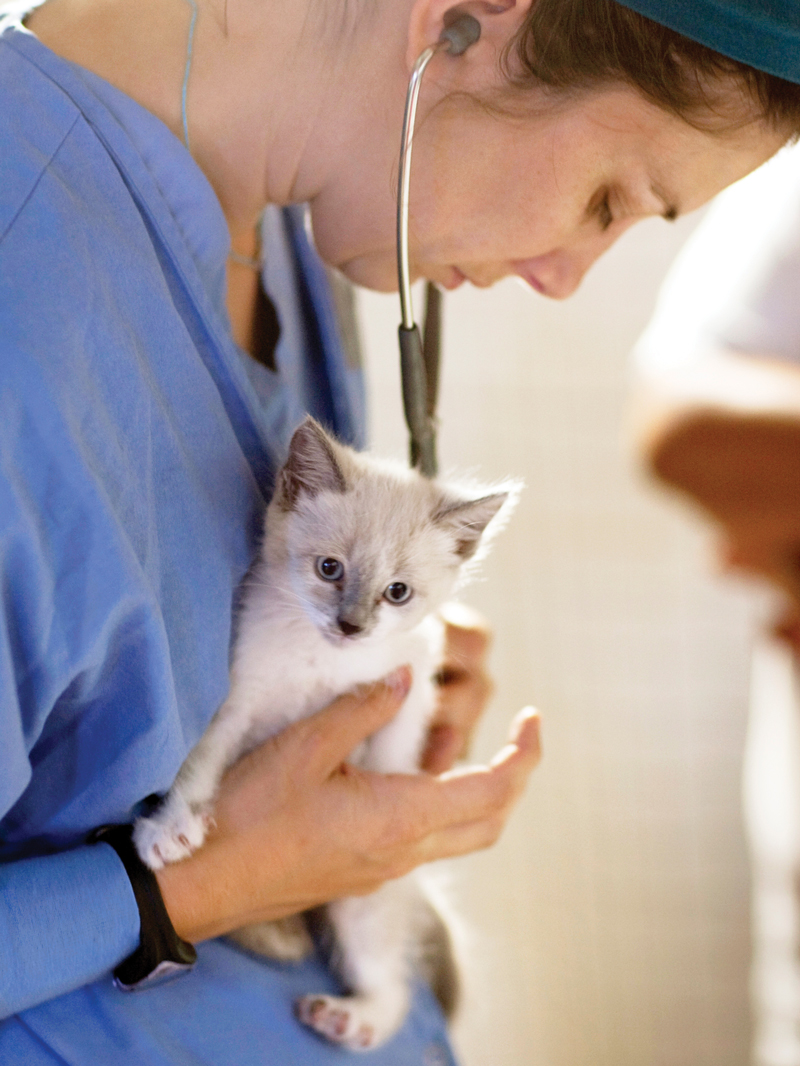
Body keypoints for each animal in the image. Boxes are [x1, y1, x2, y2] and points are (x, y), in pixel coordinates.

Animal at [134, 413, 516, 1048]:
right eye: (329, 569)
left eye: (397, 592)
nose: (351, 626)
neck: (323, 662)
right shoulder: (240, 697)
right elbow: (200, 759)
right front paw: (170, 828)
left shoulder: (411, 680)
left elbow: (395, 757)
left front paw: (390, 797)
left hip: (360, 912)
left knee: (392, 985)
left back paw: (351, 1018)